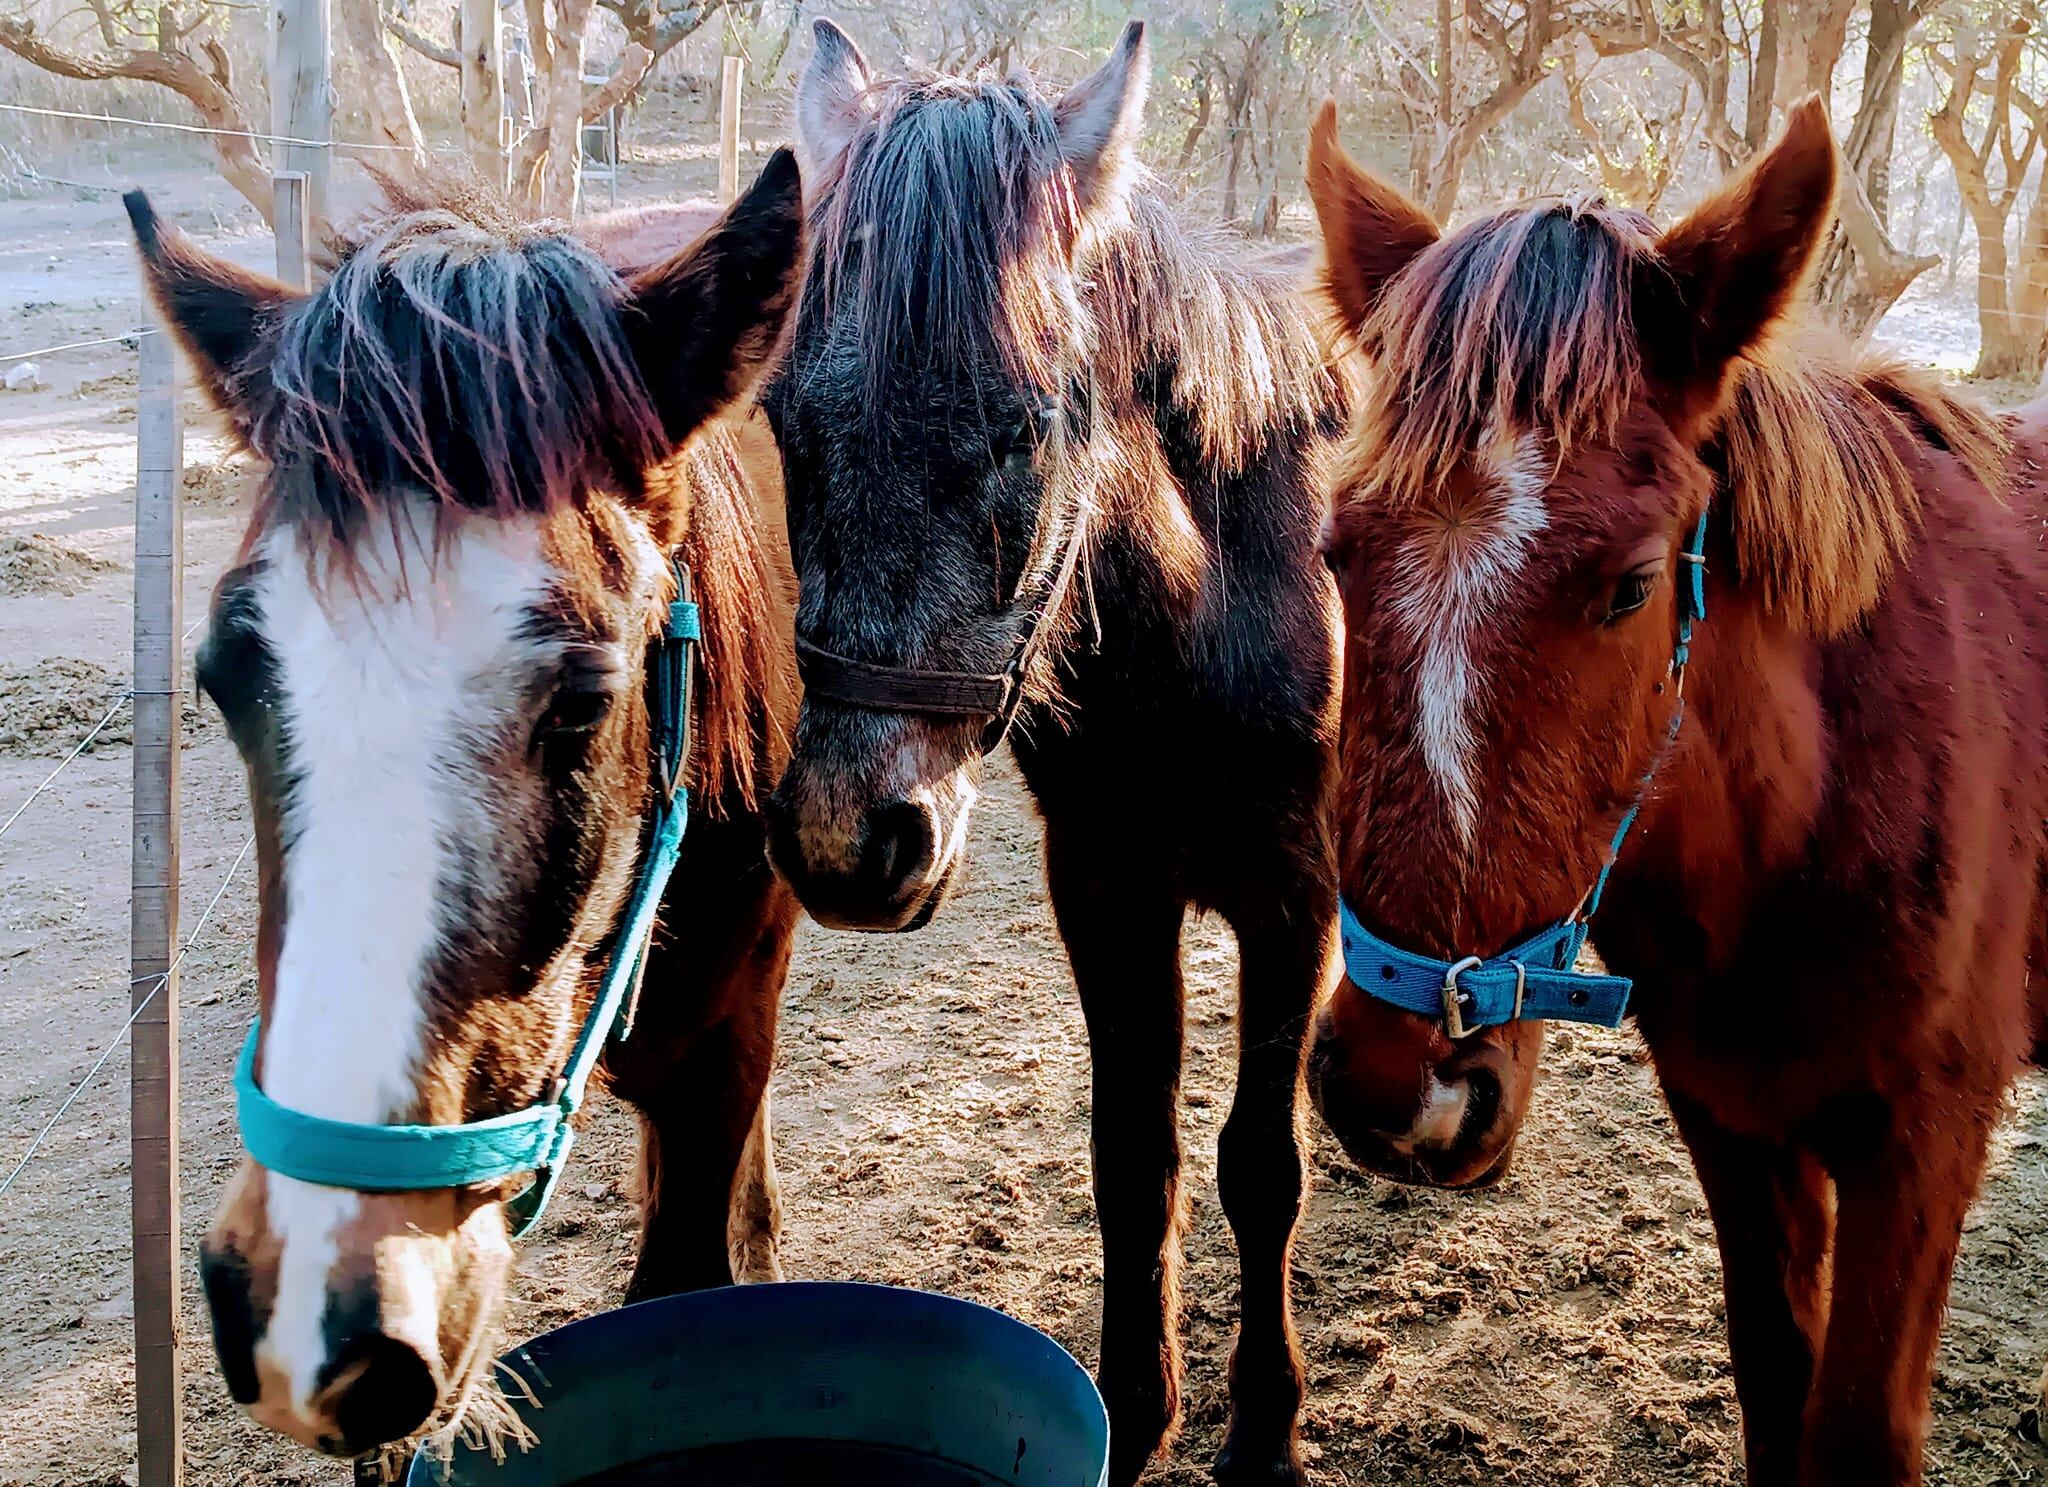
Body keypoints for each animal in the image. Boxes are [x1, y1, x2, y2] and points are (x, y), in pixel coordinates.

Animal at [1302, 96, 2048, 1487]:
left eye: (1632, 586)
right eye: (1335, 551)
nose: (1394, 1091)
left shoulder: (1918, 1142)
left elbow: (1852, 1431)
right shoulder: (1729, 1116)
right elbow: (1773, 1388)